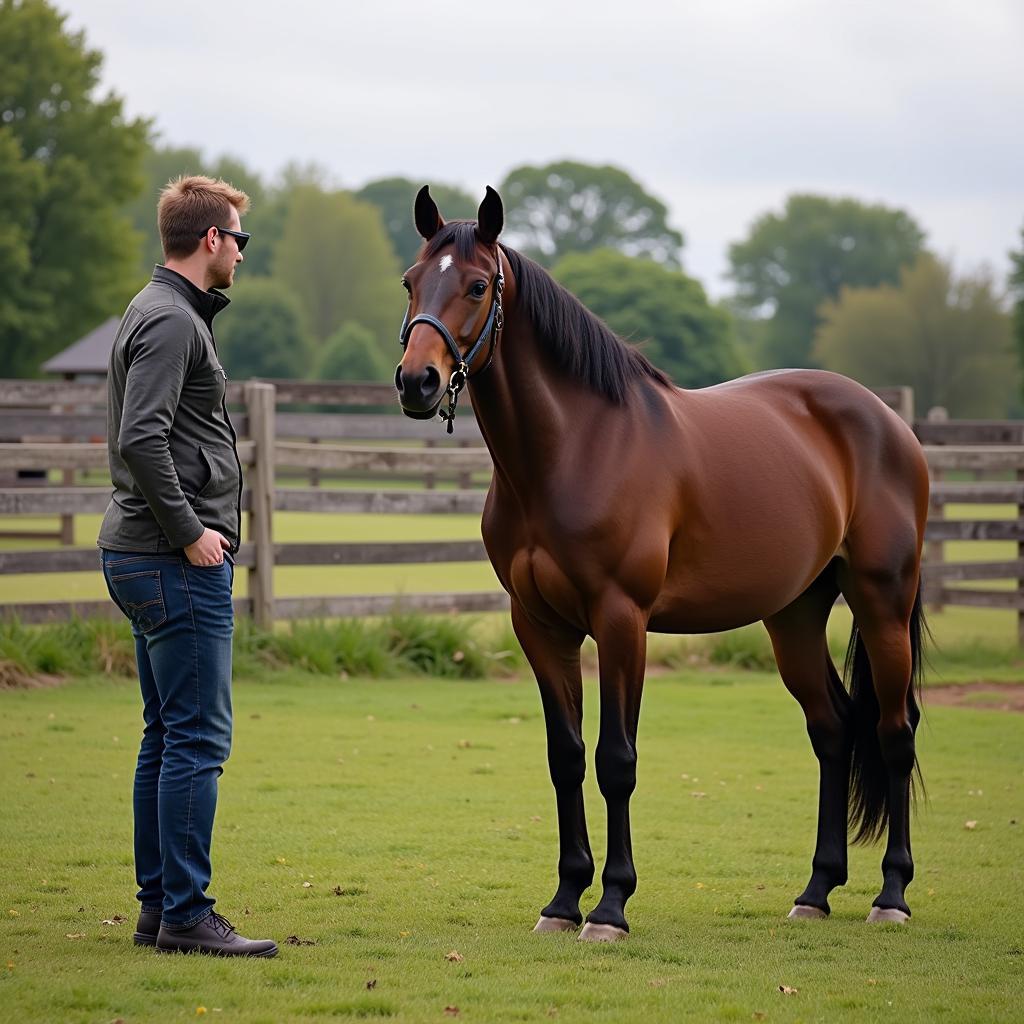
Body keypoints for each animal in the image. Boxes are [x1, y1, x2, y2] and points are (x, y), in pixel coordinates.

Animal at [391, 186, 929, 942]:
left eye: (475, 285)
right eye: (411, 282)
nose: (417, 380)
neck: (577, 447)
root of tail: (887, 421)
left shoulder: (622, 621)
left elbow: (616, 760)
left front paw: (610, 907)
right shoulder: (540, 626)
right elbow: (565, 757)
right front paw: (563, 900)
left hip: (884, 602)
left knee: (893, 732)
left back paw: (892, 895)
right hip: (794, 615)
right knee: (834, 729)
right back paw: (816, 890)